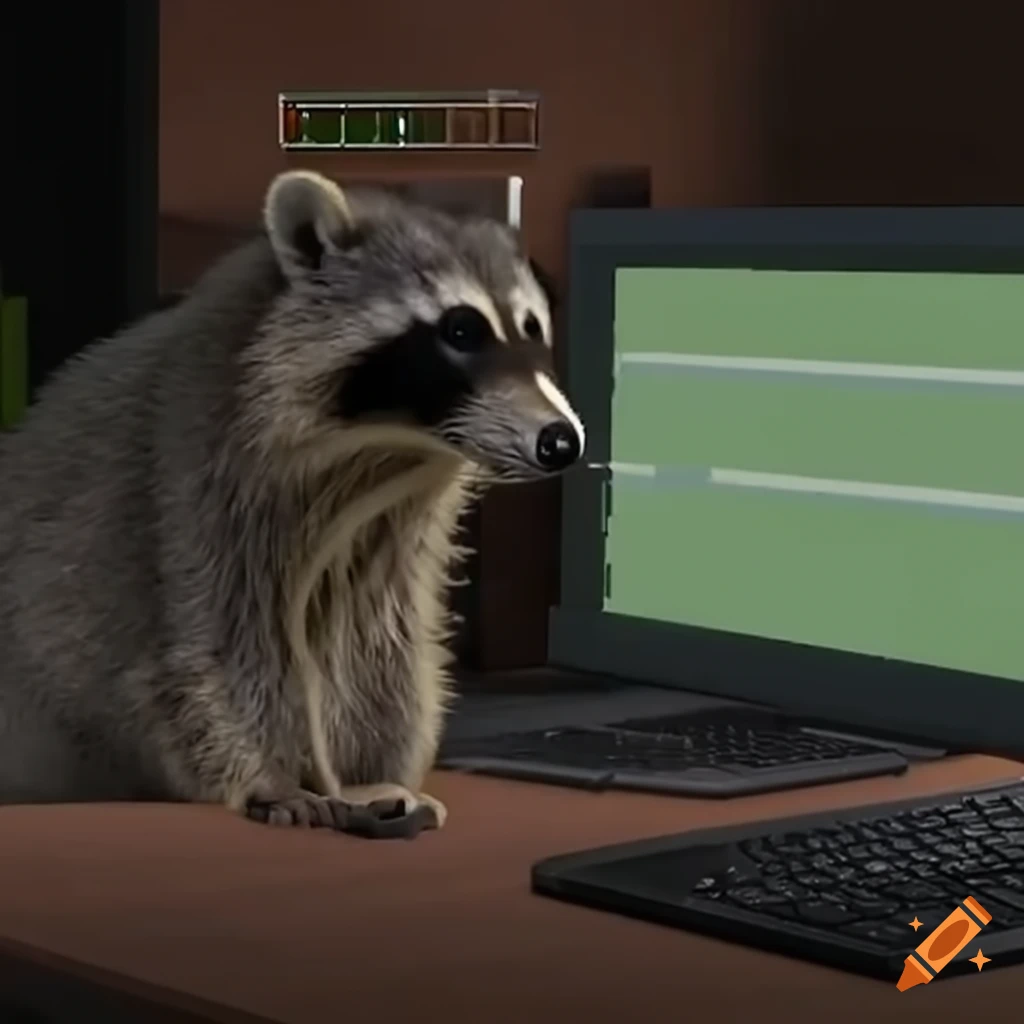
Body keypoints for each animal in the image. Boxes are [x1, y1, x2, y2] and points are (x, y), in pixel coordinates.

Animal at [0, 170, 585, 834]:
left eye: (532, 328)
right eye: (461, 330)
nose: (561, 440)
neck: (386, 454)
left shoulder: (390, 540)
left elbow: (384, 646)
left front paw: (365, 773)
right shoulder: (193, 484)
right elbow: (214, 650)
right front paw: (273, 777)